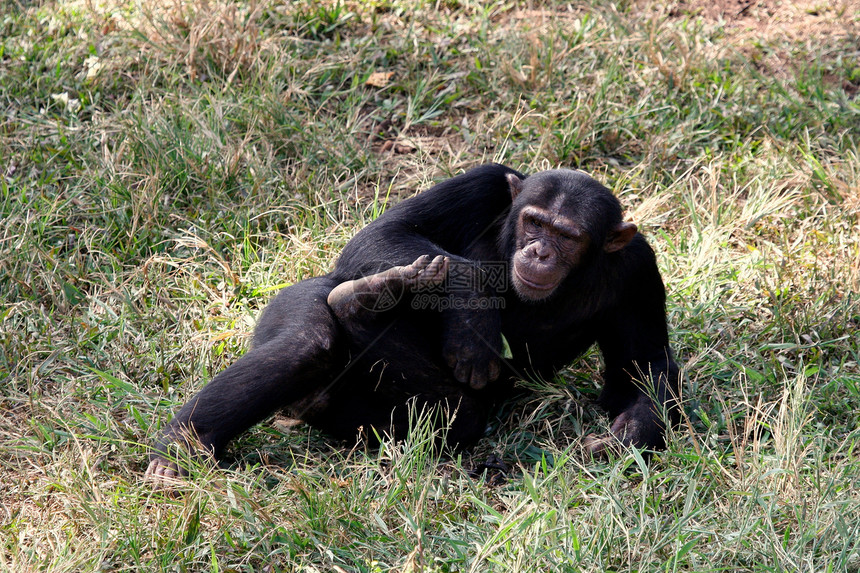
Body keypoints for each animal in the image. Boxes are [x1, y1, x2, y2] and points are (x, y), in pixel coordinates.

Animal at [149, 163, 684, 480]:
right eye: (533, 221)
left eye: (568, 236)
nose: (540, 251)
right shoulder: (484, 183)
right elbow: (384, 232)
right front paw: (473, 315)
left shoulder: (638, 268)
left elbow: (642, 369)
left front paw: (626, 437)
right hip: (288, 302)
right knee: (308, 341)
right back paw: (181, 447)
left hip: (367, 420)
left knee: (456, 416)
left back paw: (361, 304)